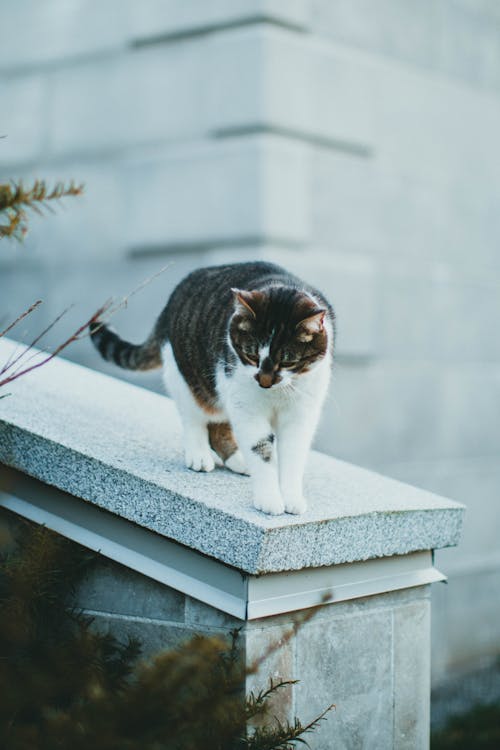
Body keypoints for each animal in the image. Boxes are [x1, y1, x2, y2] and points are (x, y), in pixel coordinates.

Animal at [90, 262, 334, 516]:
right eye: (251, 354)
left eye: (287, 361)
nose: (264, 381)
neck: (277, 392)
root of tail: (173, 297)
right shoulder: (246, 405)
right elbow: (259, 449)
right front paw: (269, 499)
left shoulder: (301, 413)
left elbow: (294, 456)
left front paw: (291, 498)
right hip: (189, 377)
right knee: (194, 417)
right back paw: (199, 456)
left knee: (219, 426)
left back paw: (237, 460)